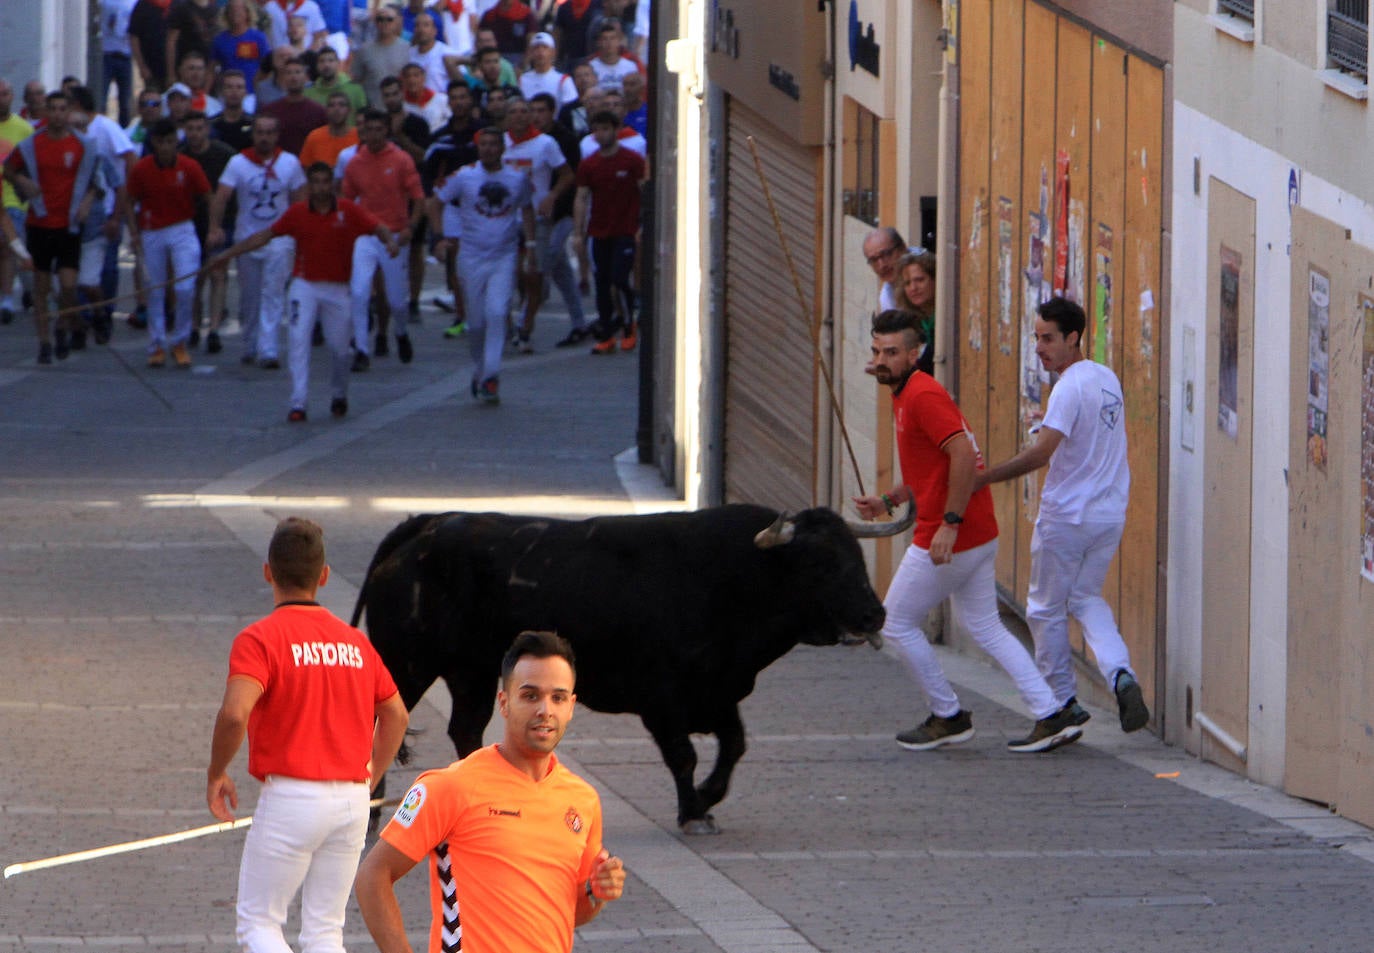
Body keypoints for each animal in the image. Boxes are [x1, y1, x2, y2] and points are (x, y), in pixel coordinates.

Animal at [354, 505, 912, 834]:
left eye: (856, 555)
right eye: (820, 563)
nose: (874, 614)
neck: (730, 577)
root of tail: (424, 526)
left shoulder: (719, 691)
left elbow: (734, 746)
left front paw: (706, 800)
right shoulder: (661, 698)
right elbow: (684, 755)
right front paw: (693, 812)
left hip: (472, 670)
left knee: (466, 730)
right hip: (407, 664)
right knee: (383, 729)